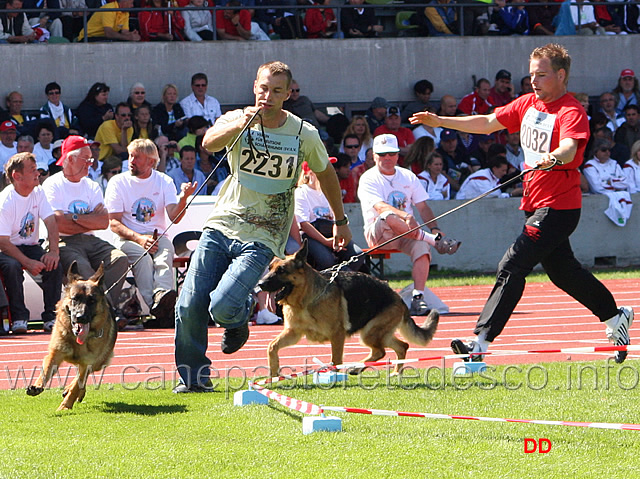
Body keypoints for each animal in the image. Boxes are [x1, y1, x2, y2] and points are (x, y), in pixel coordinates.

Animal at [26, 260, 117, 410]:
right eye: (75, 299)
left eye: (92, 301)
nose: (81, 317)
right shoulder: (55, 353)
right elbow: (46, 369)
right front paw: (37, 386)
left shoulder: (88, 363)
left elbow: (77, 385)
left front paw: (65, 406)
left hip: (99, 362)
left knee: (82, 379)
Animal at [258, 242, 438, 380]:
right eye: (270, 268)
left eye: (281, 270)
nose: (259, 284)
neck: (306, 300)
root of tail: (397, 296)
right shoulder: (293, 333)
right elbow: (272, 346)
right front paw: (273, 373)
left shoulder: (337, 335)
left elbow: (336, 360)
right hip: (378, 334)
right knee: (401, 346)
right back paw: (393, 372)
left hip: (370, 333)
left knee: (380, 351)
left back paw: (358, 367)